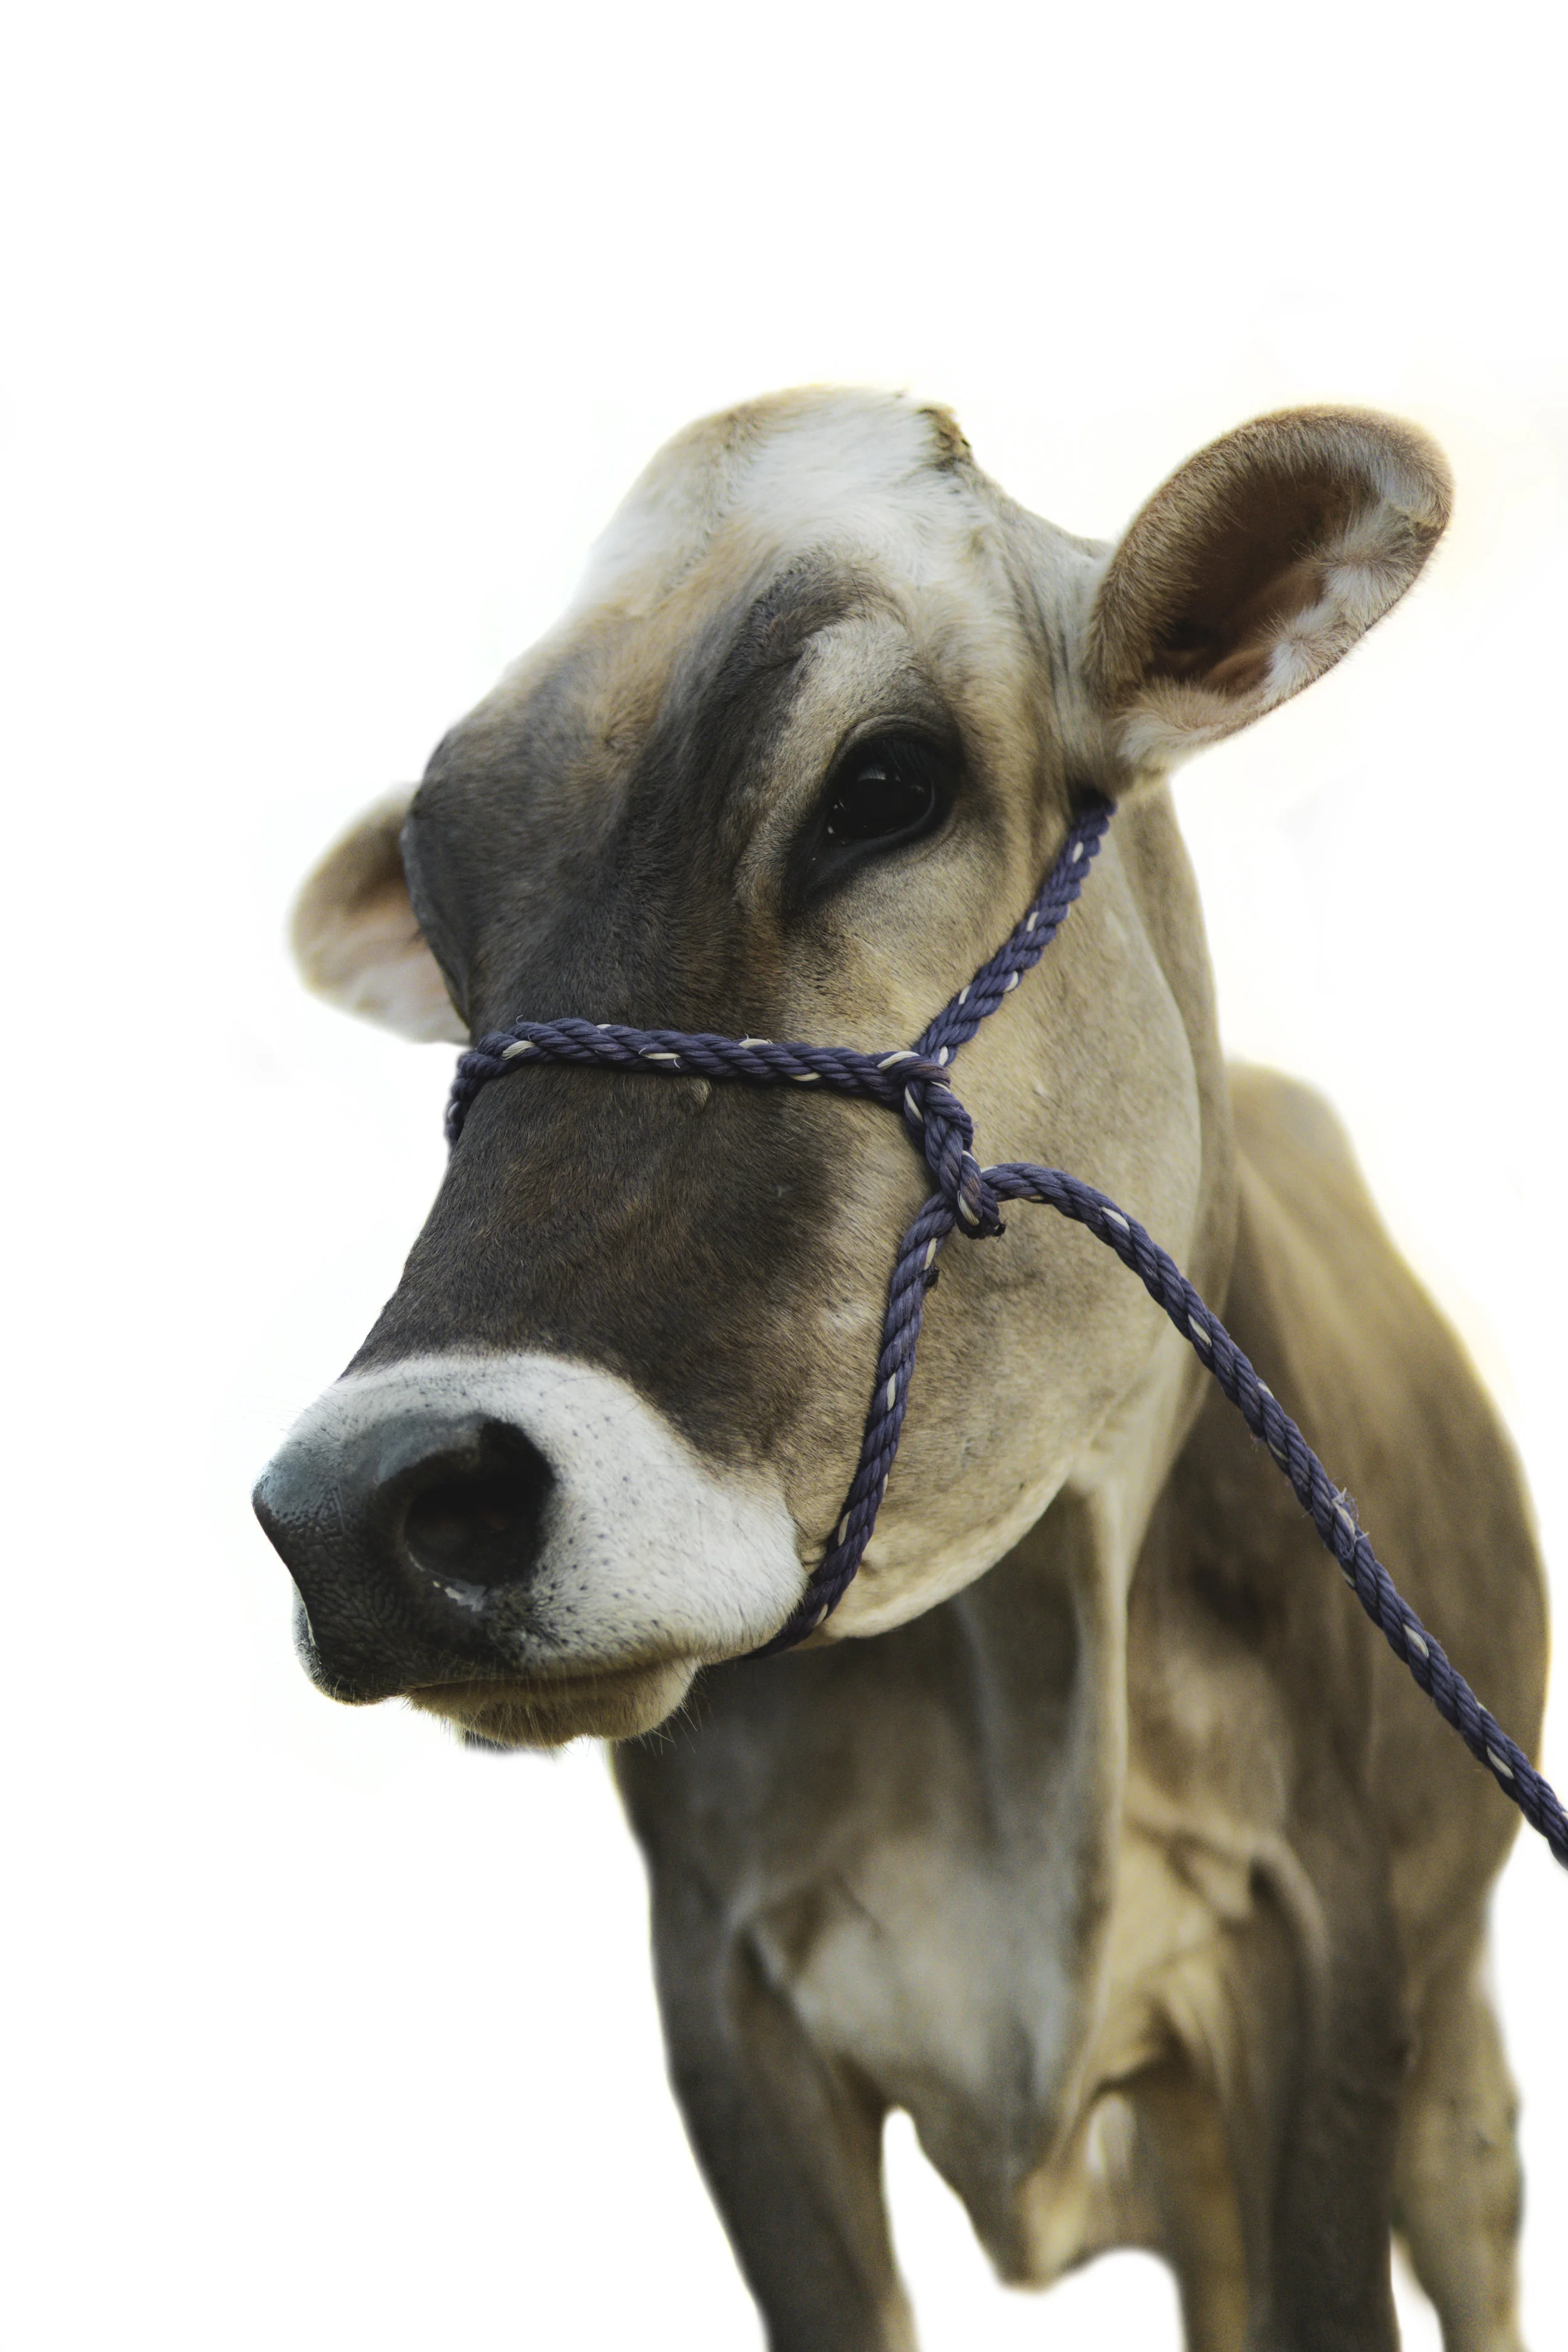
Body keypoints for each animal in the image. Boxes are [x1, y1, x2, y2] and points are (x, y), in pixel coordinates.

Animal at [254, 390, 1546, 2352]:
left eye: (883, 782)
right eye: (447, 905)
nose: (365, 1508)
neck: (1017, 1682)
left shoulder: (1326, 1953)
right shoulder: (724, 2001)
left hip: (1458, 2019)